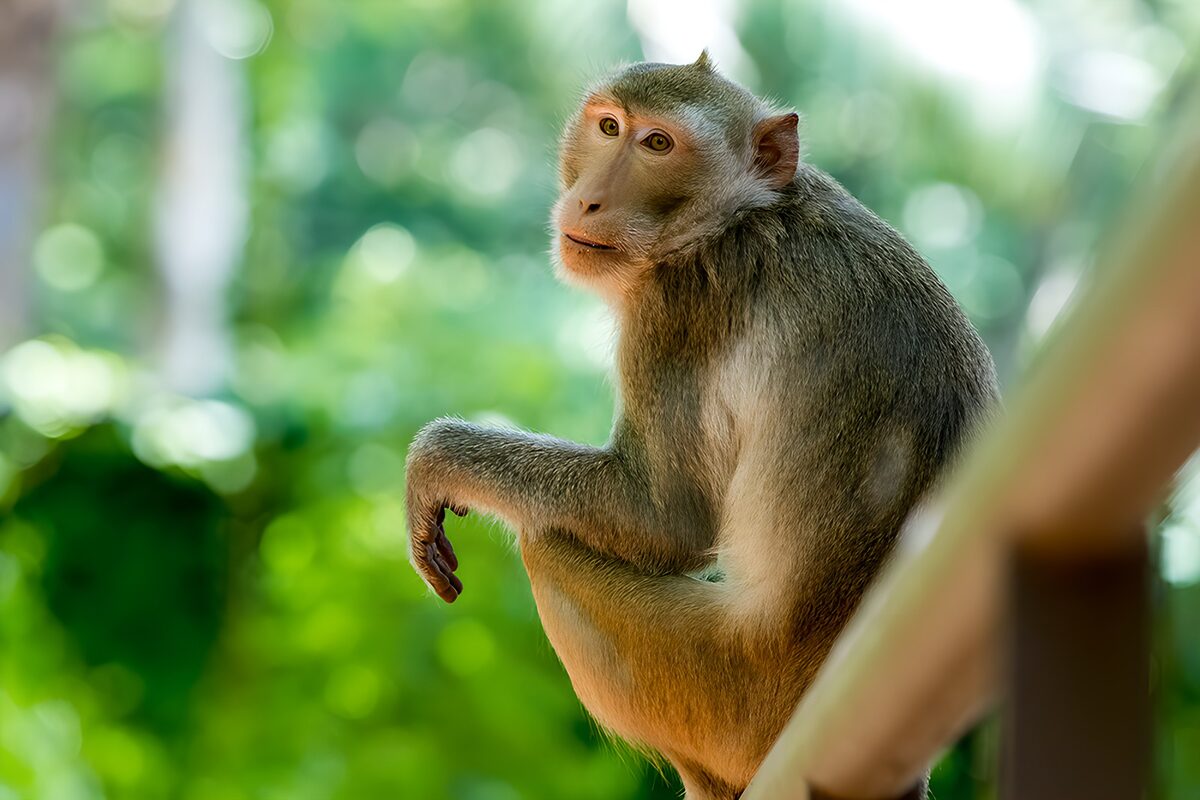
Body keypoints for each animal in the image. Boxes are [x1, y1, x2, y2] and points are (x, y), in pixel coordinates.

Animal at [405, 52, 998, 800]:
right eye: (610, 127)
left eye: (658, 144)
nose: (589, 199)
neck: (736, 215)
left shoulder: (676, 307)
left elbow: (667, 517)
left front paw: (438, 457)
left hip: (723, 694)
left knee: (550, 545)